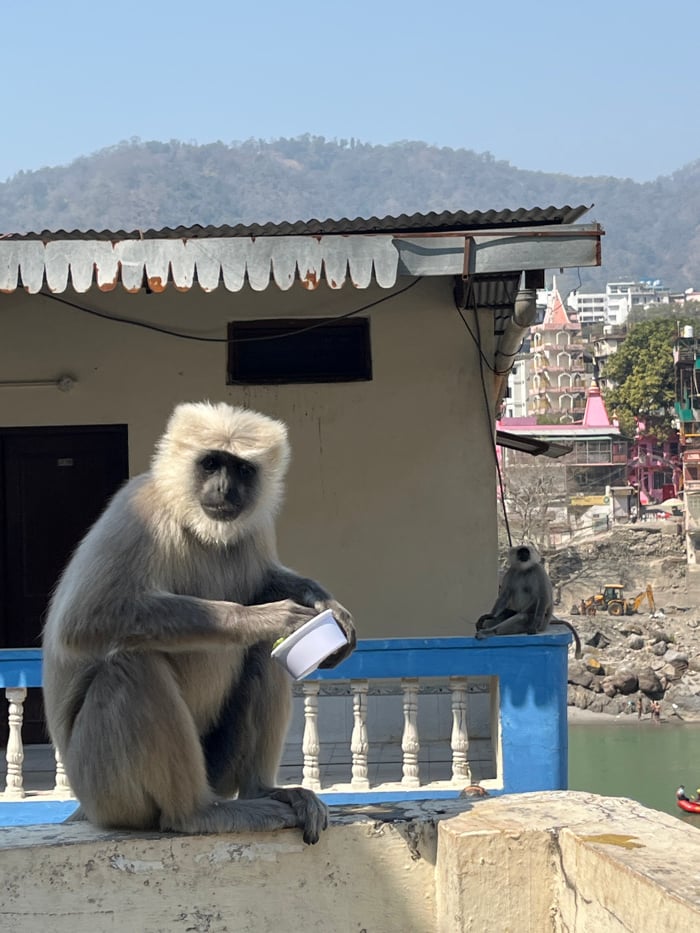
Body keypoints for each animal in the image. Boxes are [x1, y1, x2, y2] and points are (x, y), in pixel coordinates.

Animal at [42, 401, 356, 845]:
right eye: (211, 464)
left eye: (241, 469)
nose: (224, 489)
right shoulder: (139, 509)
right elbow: (84, 620)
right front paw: (266, 618)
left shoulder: (255, 525)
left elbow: (263, 580)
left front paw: (327, 605)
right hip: (106, 790)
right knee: (131, 664)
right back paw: (195, 814)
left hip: (215, 769)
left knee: (263, 656)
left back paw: (262, 790)